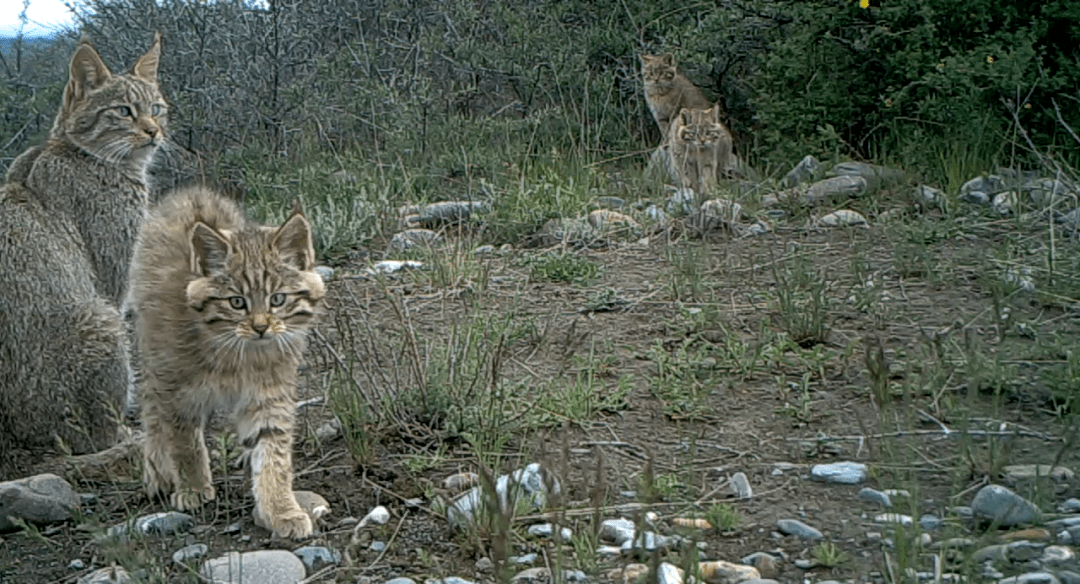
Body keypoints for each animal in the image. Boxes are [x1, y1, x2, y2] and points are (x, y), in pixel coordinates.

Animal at [0, 34, 164, 474]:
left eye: (157, 107)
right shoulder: (113, 284)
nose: (155, 131)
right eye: (123, 111)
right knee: (90, 439)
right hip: (102, 321)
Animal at [129, 185, 326, 537]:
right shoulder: (178, 392)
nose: (261, 327)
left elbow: (272, 452)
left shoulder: (269, 393)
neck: (238, 352)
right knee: (150, 406)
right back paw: (158, 470)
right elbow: (184, 442)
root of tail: (192, 193)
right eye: (237, 302)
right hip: (153, 353)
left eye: (278, 300)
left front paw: (281, 509)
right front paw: (192, 487)